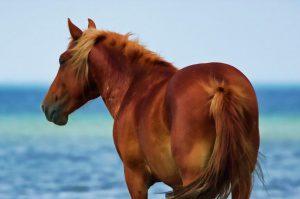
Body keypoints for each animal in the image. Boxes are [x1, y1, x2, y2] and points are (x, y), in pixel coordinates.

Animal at [41, 18, 262, 197]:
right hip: (241, 179)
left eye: (62, 60)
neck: (133, 86)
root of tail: (220, 86)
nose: (46, 106)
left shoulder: (135, 177)